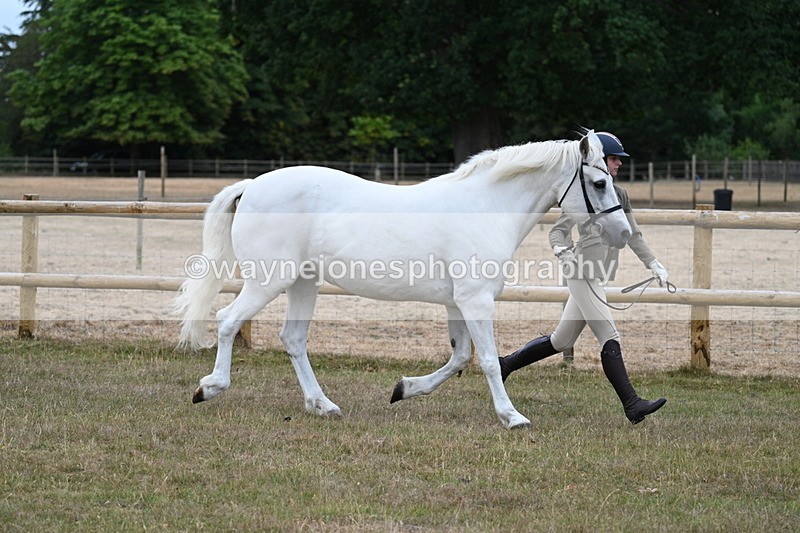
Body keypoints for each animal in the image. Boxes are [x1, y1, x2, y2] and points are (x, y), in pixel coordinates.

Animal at [174, 130, 632, 429]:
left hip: (304, 283)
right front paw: (512, 416)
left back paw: (323, 405)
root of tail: (252, 185)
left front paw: (404, 388)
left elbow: (460, 358)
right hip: (269, 281)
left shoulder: (457, 303)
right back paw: (209, 388)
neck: (485, 207)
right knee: (228, 321)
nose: (624, 233)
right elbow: (486, 360)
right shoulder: (476, 300)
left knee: (293, 339)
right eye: (599, 182)